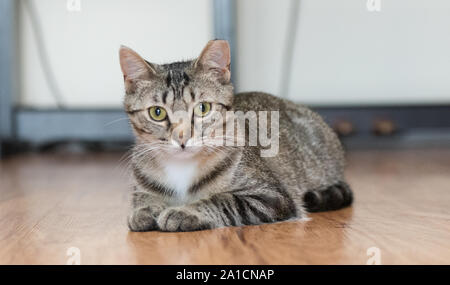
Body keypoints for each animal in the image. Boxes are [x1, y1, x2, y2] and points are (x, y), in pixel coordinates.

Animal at [119, 39, 352, 231]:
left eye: (203, 108)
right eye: (157, 112)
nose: (182, 137)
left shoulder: (273, 197)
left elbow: (223, 201)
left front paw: (185, 211)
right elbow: (142, 196)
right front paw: (145, 209)